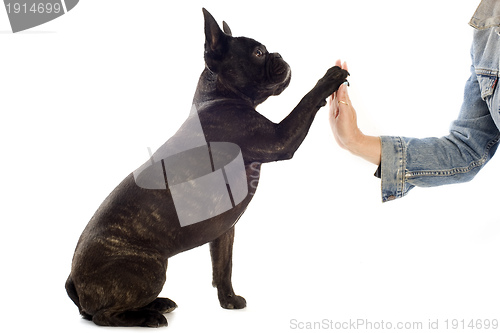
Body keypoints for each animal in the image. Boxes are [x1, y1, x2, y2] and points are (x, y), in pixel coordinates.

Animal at [65, 8, 348, 326]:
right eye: (258, 53)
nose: (278, 54)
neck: (218, 96)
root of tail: (74, 281)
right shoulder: (279, 138)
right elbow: (305, 102)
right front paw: (329, 79)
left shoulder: (224, 232)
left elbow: (223, 267)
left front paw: (228, 301)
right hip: (150, 269)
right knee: (104, 315)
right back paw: (147, 316)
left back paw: (159, 304)